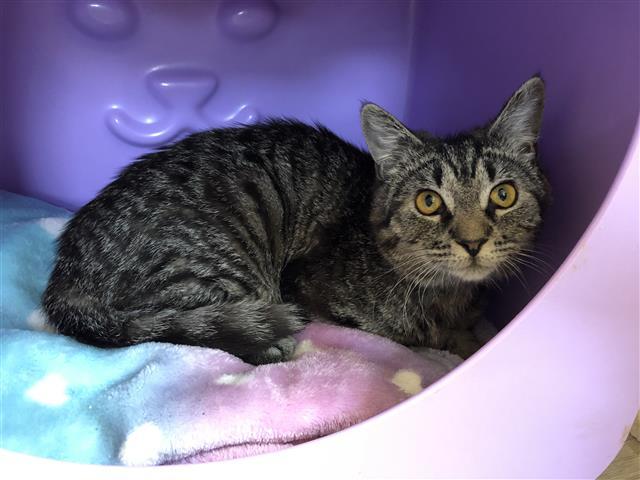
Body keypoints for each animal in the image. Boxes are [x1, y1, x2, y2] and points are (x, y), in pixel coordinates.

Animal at [43, 76, 550, 364]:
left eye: (503, 195)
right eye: (428, 202)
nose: (472, 241)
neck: (446, 294)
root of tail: (67, 273)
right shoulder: (308, 288)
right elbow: (411, 335)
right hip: (214, 268)